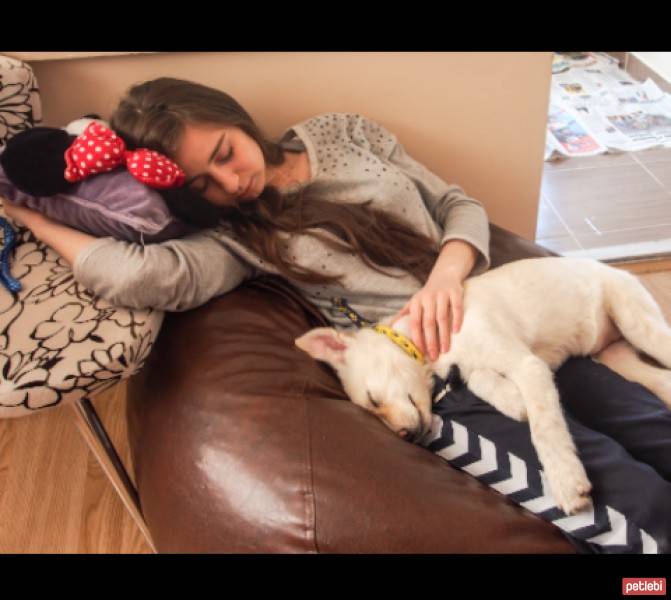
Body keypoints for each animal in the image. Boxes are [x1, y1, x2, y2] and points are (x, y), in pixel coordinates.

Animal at [296, 255, 671, 512]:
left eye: (373, 400)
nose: (407, 437)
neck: (425, 344)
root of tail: (617, 270)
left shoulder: (529, 364)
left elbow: (545, 431)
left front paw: (566, 481)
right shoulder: (490, 364)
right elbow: (480, 379)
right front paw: (514, 401)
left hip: (636, 322)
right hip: (617, 358)